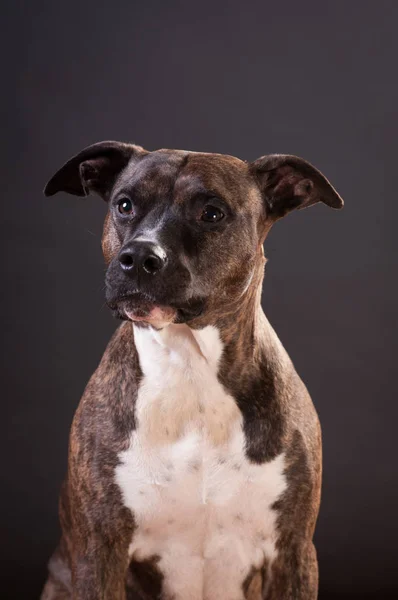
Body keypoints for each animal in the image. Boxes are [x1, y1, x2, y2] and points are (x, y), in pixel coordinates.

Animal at [42, 142, 344, 600]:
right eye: (124, 205)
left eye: (212, 213)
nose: (138, 257)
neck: (189, 369)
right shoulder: (100, 550)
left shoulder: (293, 553)